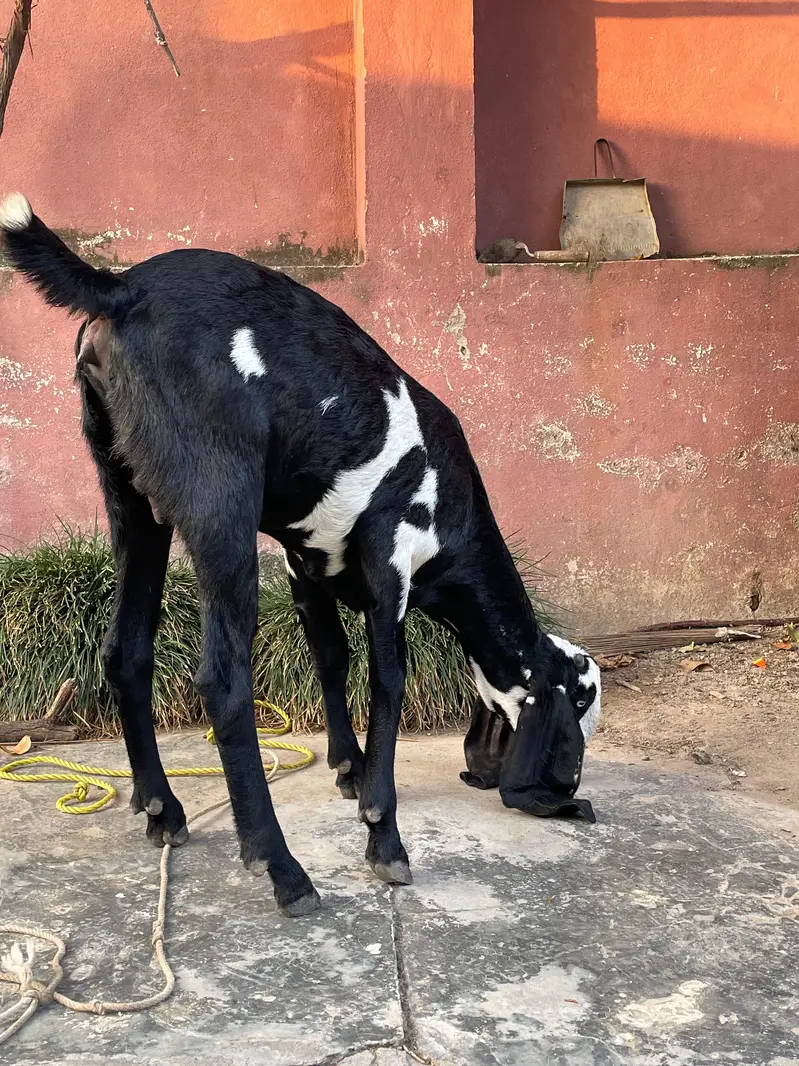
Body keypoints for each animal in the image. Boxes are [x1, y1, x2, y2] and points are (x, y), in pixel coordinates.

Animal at [0, 193, 601, 917]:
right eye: (581, 706)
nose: (570, 790)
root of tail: (120, 288)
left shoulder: (304, 561)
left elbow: (331, 658)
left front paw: (347, 767)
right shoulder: (390, 563)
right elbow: (389, 683)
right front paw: (383, 833)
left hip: (132, 503)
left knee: (126, 651)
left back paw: (162, 807)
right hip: (221, 511)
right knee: (223, 682)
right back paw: (281, 866)